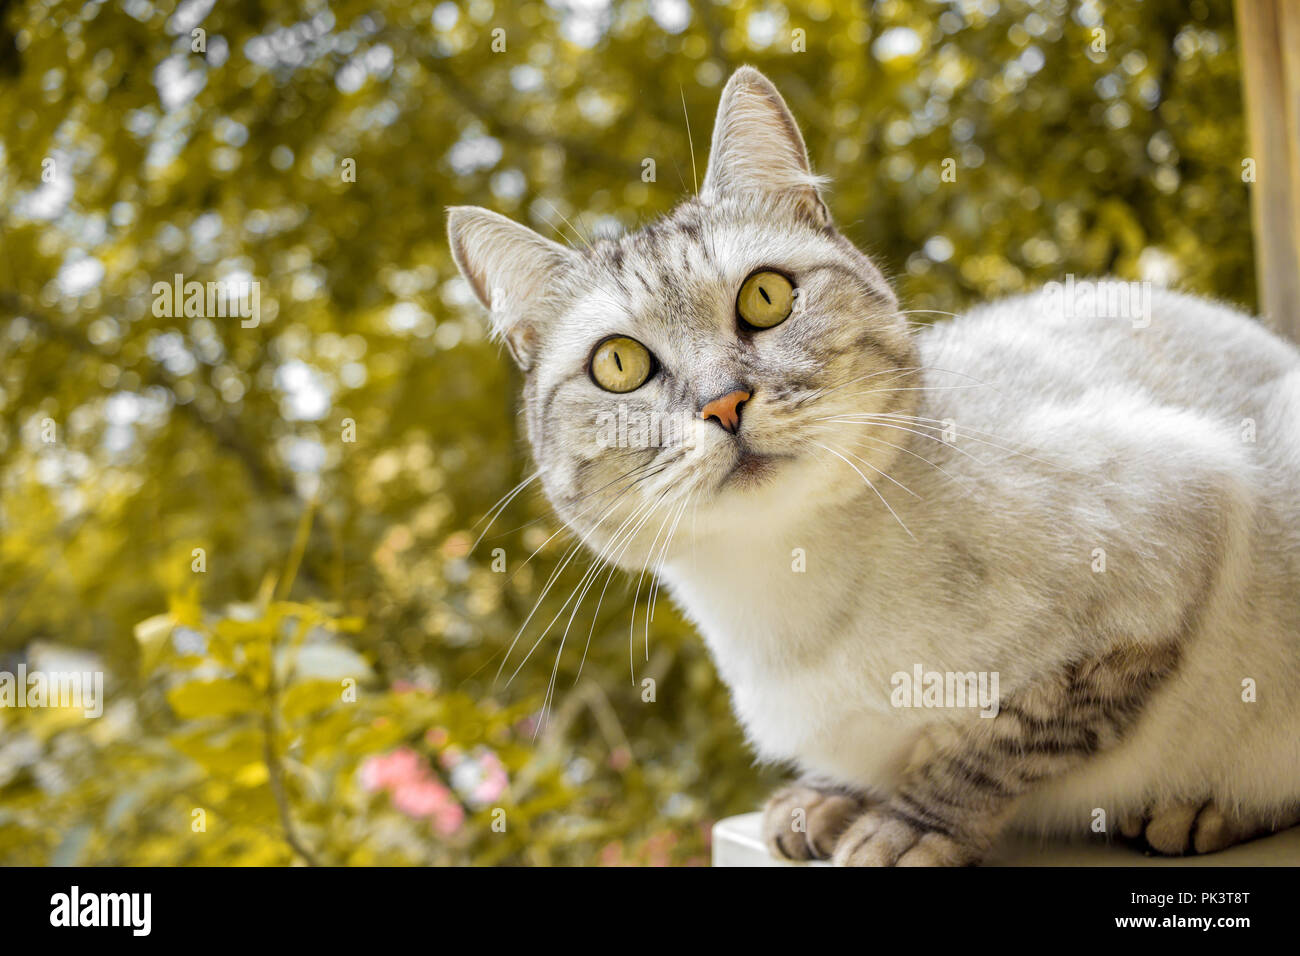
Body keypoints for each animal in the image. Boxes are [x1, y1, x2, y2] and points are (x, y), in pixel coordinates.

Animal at [447, 67, 1300, 868]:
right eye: (619, 364)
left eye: (765, 297)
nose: (724, 404)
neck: (783, 596)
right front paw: (825, 801)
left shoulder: (1163, 558)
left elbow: (993, 746)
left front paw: (904, 828)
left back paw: (1198, 813)